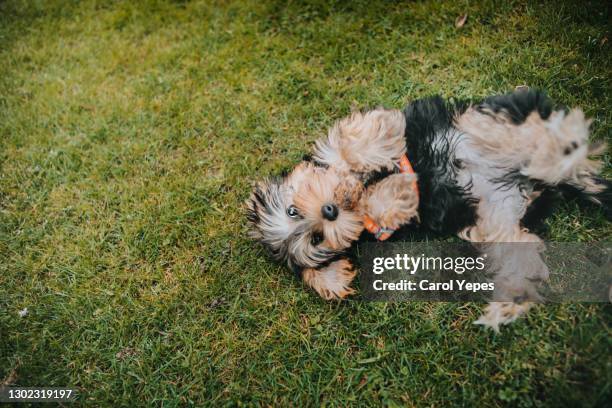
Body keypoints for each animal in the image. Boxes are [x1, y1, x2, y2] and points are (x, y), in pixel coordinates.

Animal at [246, 90, 608, 332]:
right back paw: (504, 308)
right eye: (317, 239)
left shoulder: (343, 145)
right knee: (519, 256)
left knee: (529, 130)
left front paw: (372, 162)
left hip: (489, 120)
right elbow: (378, 211)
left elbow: (351, 143)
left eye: (292, 211)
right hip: (495, 221)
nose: (330, 210)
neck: (364, 186)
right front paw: (397, 191)